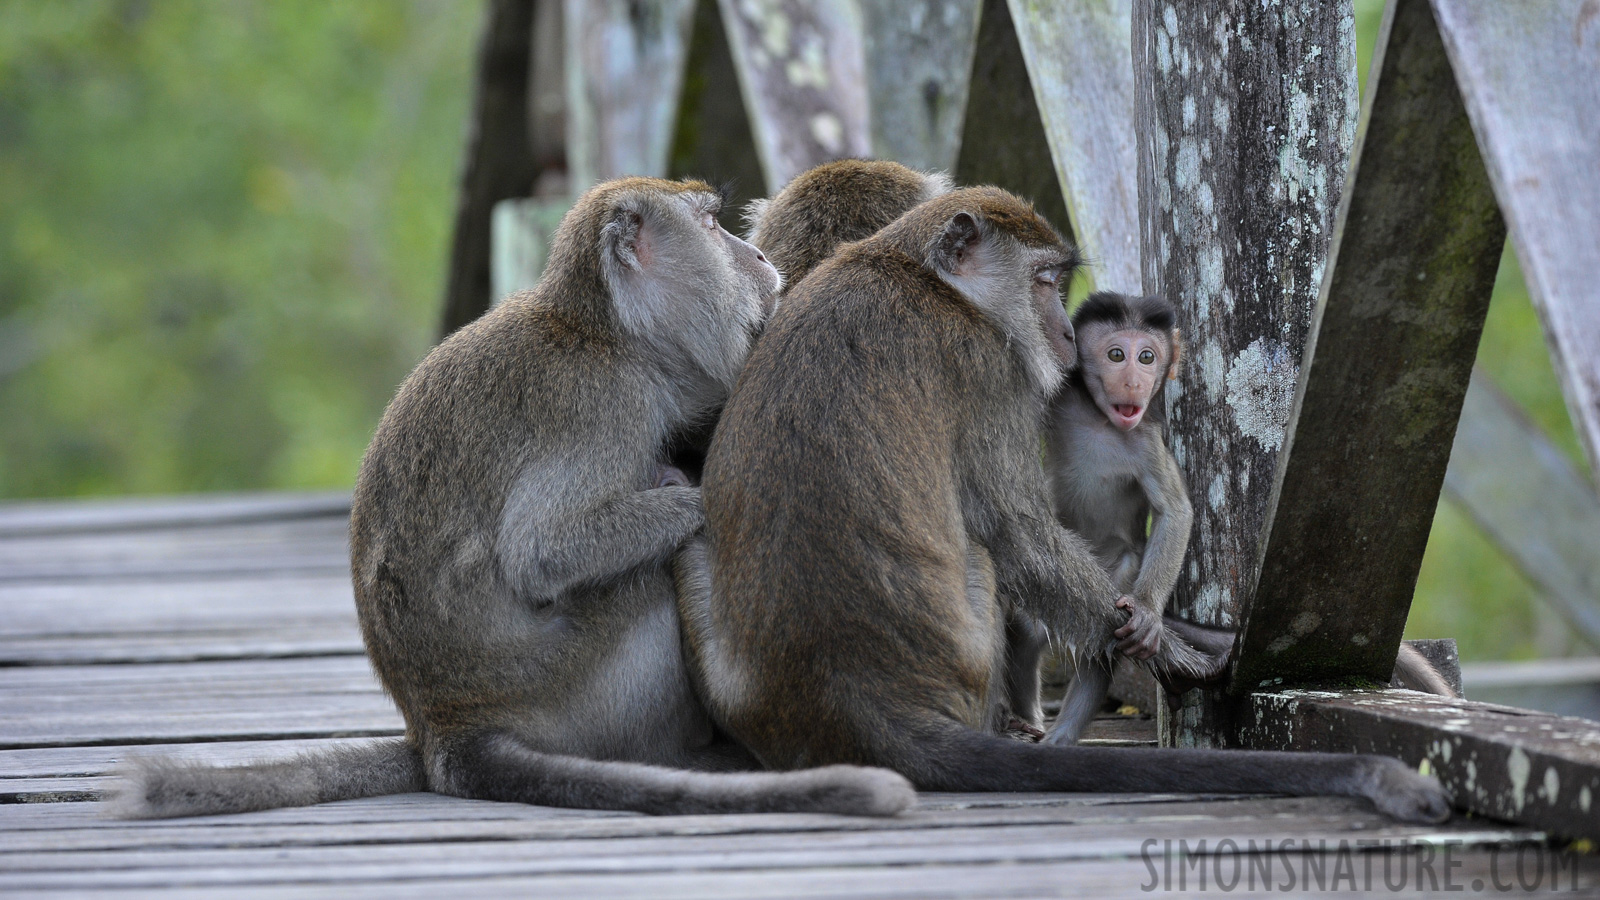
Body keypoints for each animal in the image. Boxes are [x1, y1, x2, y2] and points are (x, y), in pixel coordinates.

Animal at [681, 185, 1459, 826]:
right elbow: (1016, 527)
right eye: (1044, 281)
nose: (1060, 331)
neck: (915, 274)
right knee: (989, 554)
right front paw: (1168, 649)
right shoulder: (990, 366)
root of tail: (865, 711)